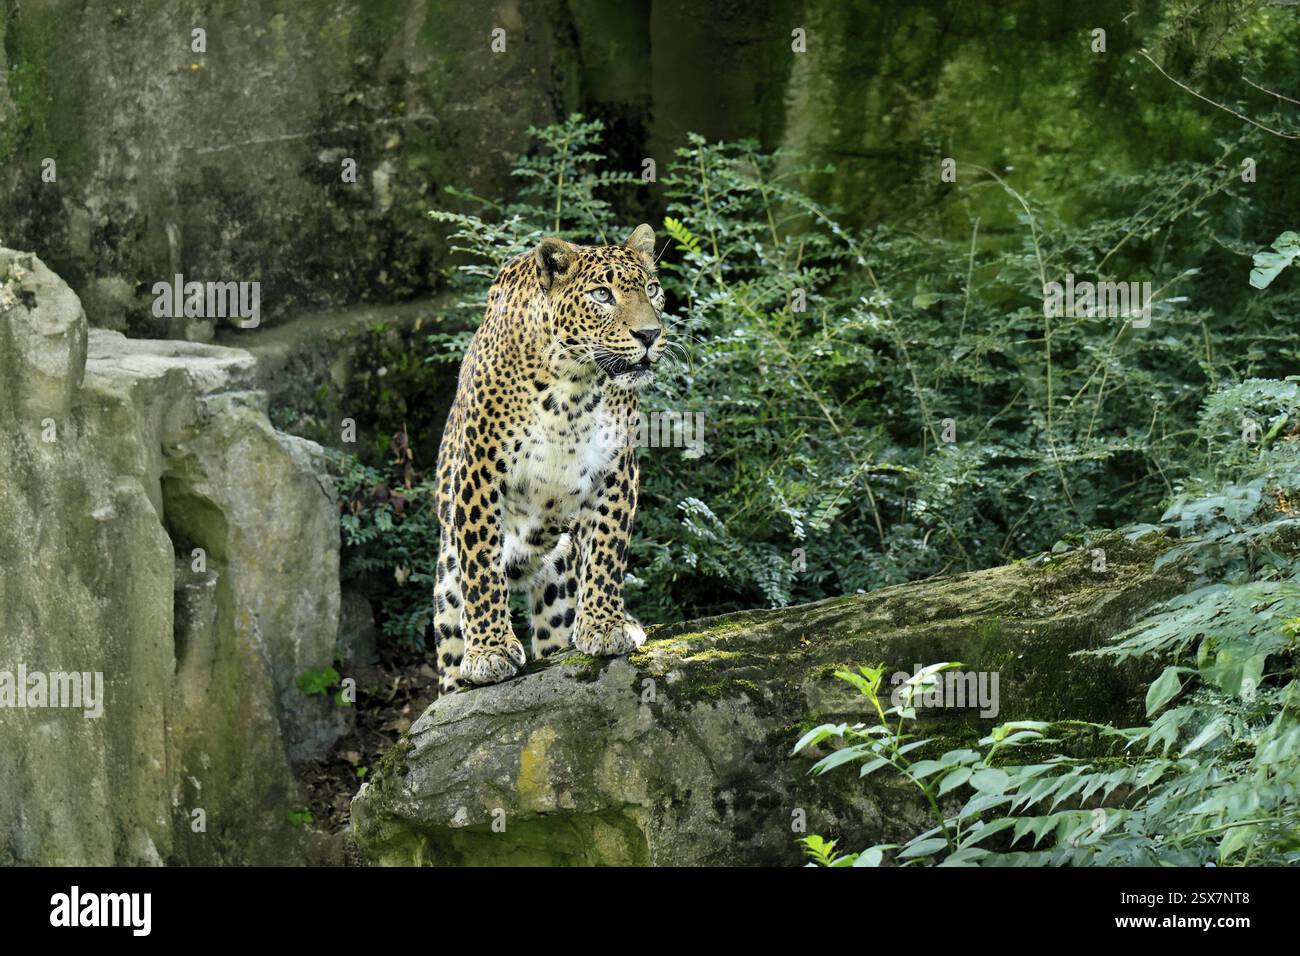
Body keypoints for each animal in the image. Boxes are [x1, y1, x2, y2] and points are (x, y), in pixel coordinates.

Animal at [430, 224, 667, 693]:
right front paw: (489, 652)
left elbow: (608, 548)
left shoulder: (616, 468)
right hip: (447, 583)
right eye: (602, 294)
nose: (649, 335)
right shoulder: (479, 471)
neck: (571, 386)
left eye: (652, 289)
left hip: (558, 574)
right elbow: (481, 566)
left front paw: (605, 625)